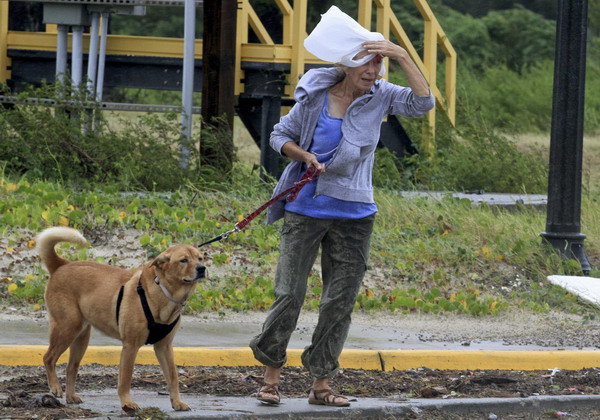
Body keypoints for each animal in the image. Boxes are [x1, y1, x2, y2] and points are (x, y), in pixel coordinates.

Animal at [38, 226, 206, 414]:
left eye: (200, 258)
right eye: (183, 260)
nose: (202, 268)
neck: (163, 292)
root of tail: (62, 265)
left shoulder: (164, 347)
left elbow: (173, 377)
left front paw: (177, 402)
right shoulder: (130, 346)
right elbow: (125, 379)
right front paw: (127, 403)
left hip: (81, 337)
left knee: (70, 368)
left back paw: (71, 396)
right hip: (67, 329)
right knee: (48, 358)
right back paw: (55, 387)